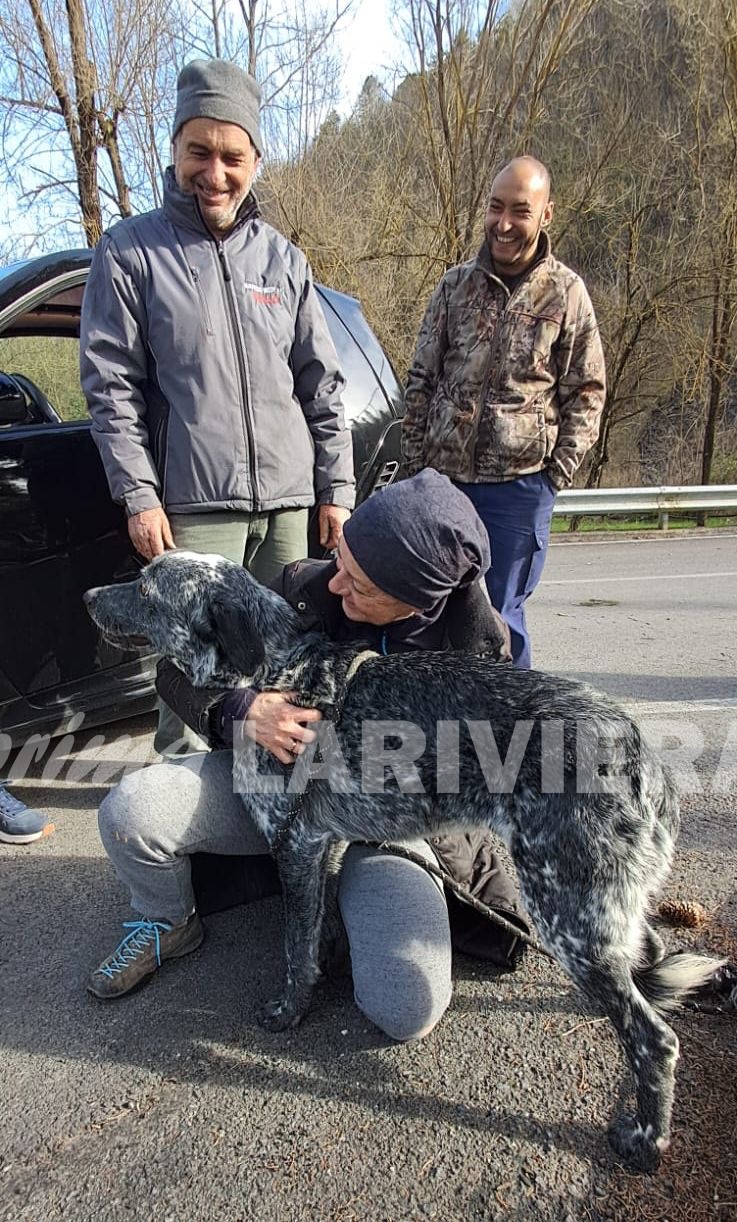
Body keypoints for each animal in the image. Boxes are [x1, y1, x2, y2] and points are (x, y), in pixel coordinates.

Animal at [84, 554, 718, 1173]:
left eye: (146, 588)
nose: (87, 597)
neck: (278, 675)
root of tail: (637, 748)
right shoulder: (323, 844)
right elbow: (318, 935)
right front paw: (324, 972)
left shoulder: (295, 845)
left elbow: (294, 950)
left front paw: (289, 1012)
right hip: (604, 911)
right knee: (650, 957)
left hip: (568, 917)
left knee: (654, 1039)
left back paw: (646, 1140)